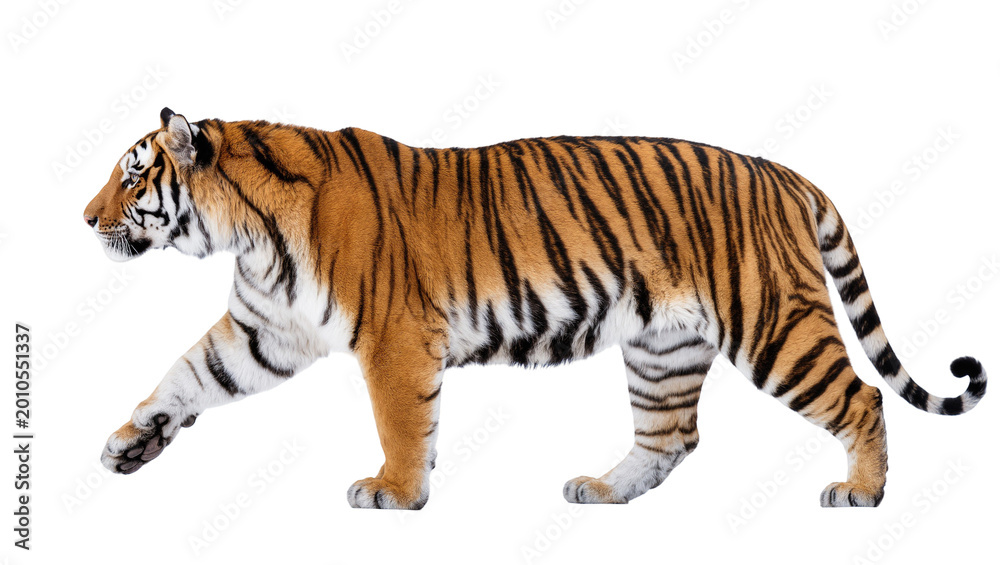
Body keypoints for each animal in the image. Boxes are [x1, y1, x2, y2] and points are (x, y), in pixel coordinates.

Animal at [83, 107, 986, 510]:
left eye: (133, 175)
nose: (86, 220)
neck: (248, 233)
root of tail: (780, 170)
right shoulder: (264, 329)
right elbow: (186, 374)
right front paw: (130, 443)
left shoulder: (394, 338)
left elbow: (401, 421)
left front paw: (394, 492)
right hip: (663, 347)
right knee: (672, 435)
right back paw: (604, 488)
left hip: (773, 323)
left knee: (861, 394)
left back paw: (861, 492)